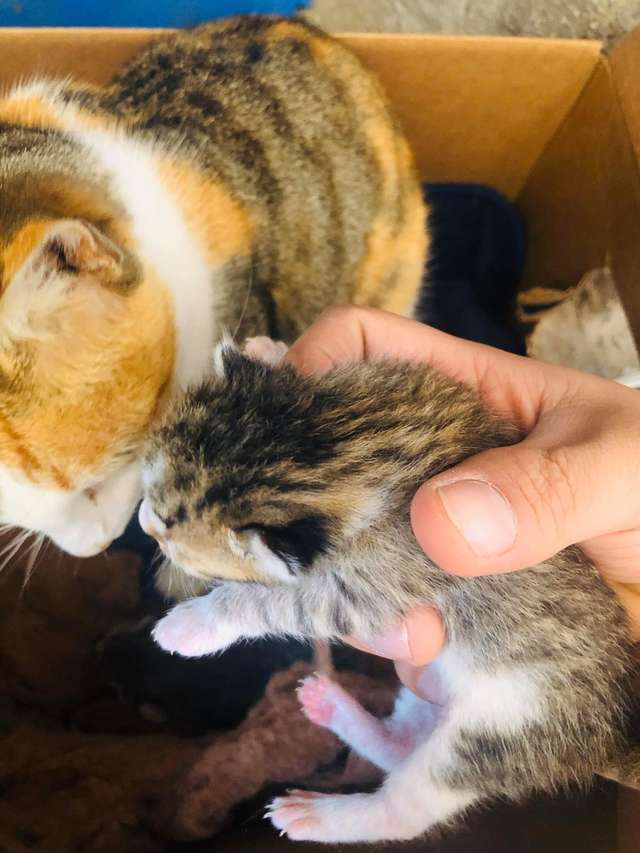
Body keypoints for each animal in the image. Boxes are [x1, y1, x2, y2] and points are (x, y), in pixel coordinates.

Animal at [139, 340, 636, 844]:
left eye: (167, 534)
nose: (141, 522)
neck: (341, 443)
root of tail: (613, 734)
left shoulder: (372, 586)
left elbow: (280, 602)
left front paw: (191, 624)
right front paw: (271, 349)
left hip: (506, 731)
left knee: (409, 806)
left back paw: (317, 815)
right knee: (402, 746)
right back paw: (333, 708)